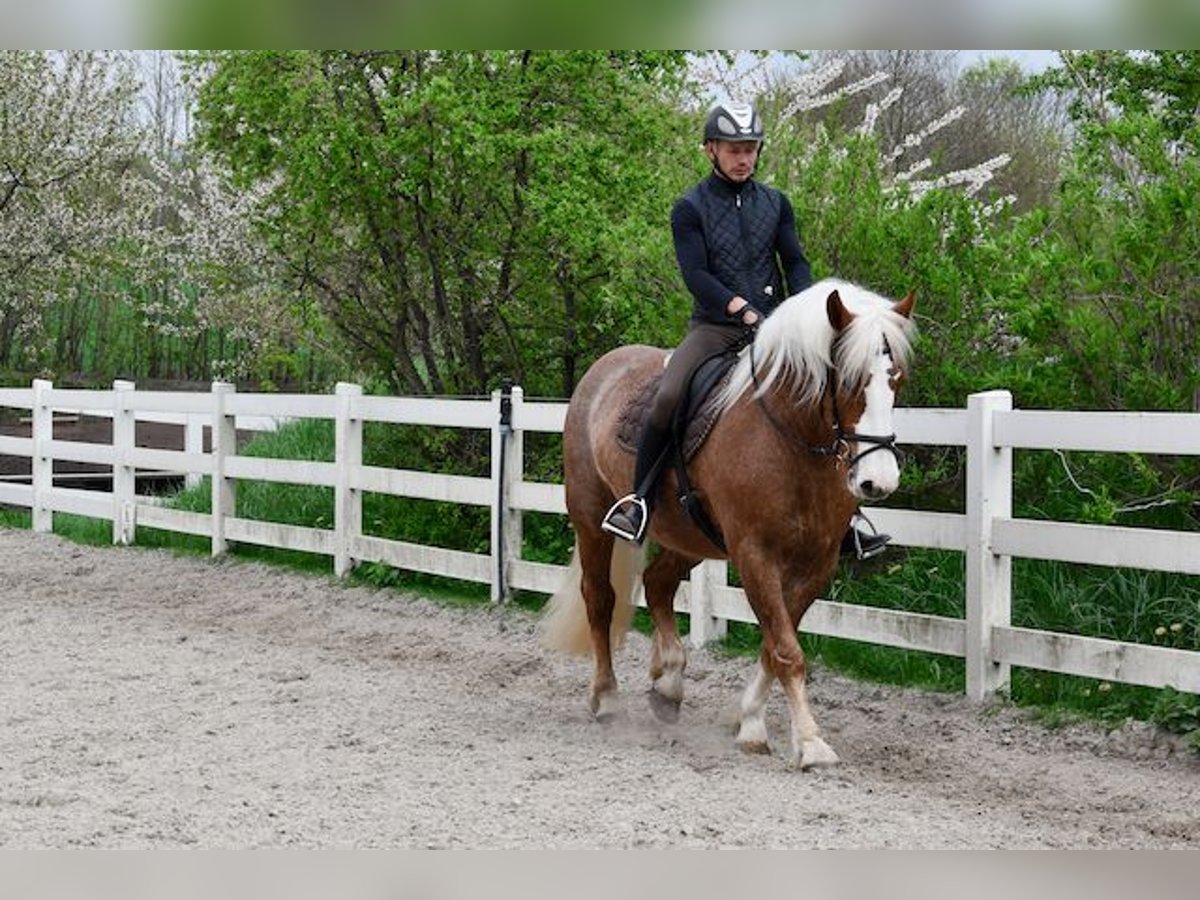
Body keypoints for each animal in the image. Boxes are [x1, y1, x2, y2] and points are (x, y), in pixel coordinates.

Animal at [540, 280, 912, 768]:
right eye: (849, 380)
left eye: (896, 380)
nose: (878, 482)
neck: (792, 442)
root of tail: (604, 367)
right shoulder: (754, 554)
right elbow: (786, 650)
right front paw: (810, 742)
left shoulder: (819, 562)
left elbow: (775, 645)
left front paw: (750, 722)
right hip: (589, 518)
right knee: (600, 599)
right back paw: (607, 698)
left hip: (689, 536)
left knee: (657, 584)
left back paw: (668, 683)